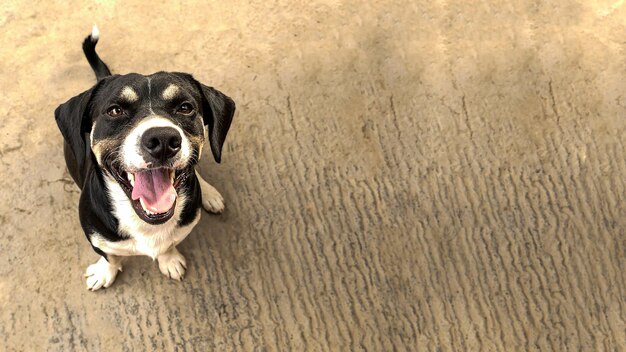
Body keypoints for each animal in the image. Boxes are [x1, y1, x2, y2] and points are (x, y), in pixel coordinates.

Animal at [55, 25, 234, 292]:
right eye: (115, 110)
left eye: (185, 107)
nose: (163, 140)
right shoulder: (96, 238)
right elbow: (110, 256)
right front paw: (104, 272)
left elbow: (170, 243)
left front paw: (169, 260)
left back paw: (210, 193)